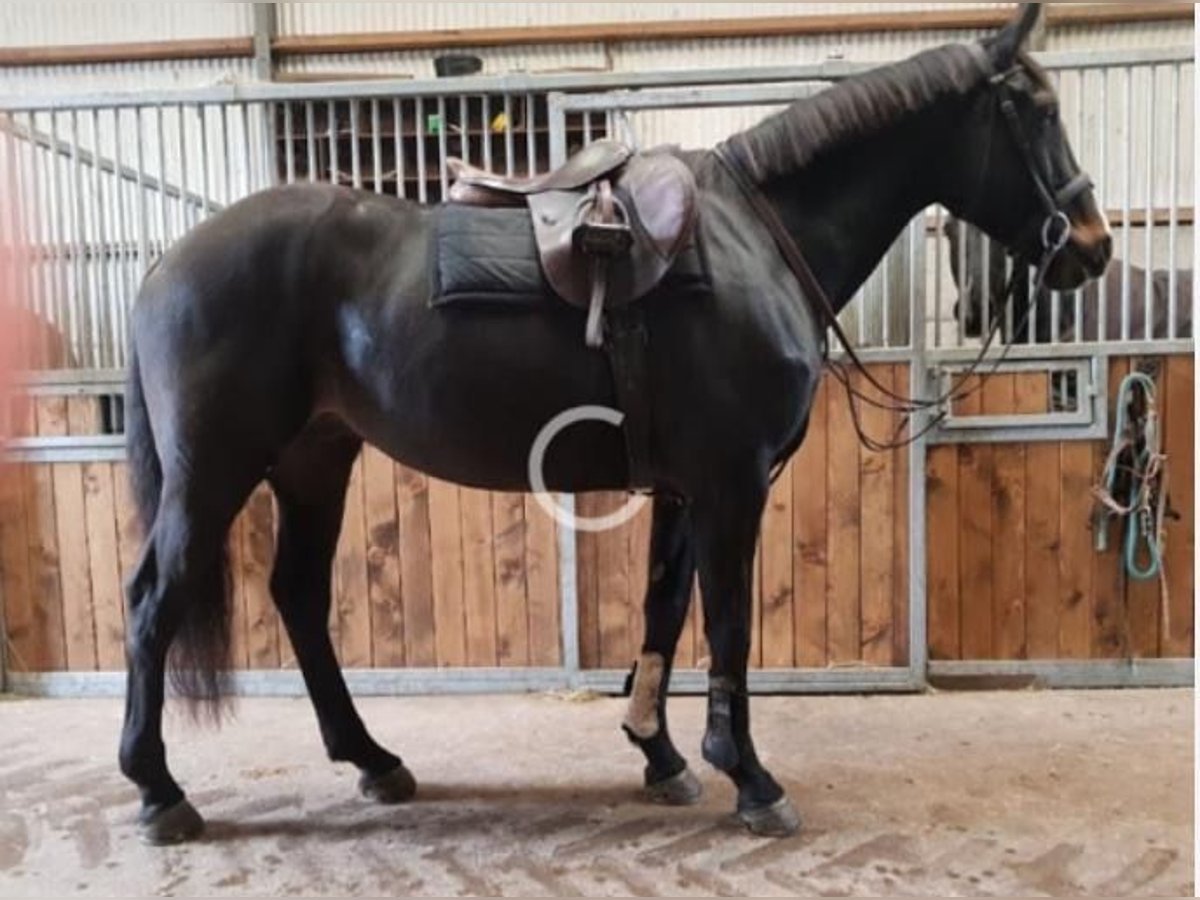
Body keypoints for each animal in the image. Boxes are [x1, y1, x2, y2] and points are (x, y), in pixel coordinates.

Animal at [124, 3, 1113, 844]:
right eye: (1035, 110)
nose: (1094, 246)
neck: (757, 241)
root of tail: (167, 264)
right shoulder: (732, 483)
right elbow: (728, 625)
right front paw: (751, 779)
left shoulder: (682, 487)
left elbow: (664, 611)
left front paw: (663, 754)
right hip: (215, 471)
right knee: (153, 602)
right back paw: (160, 792)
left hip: (314, 460)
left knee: (297, 595)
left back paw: (373, 760)